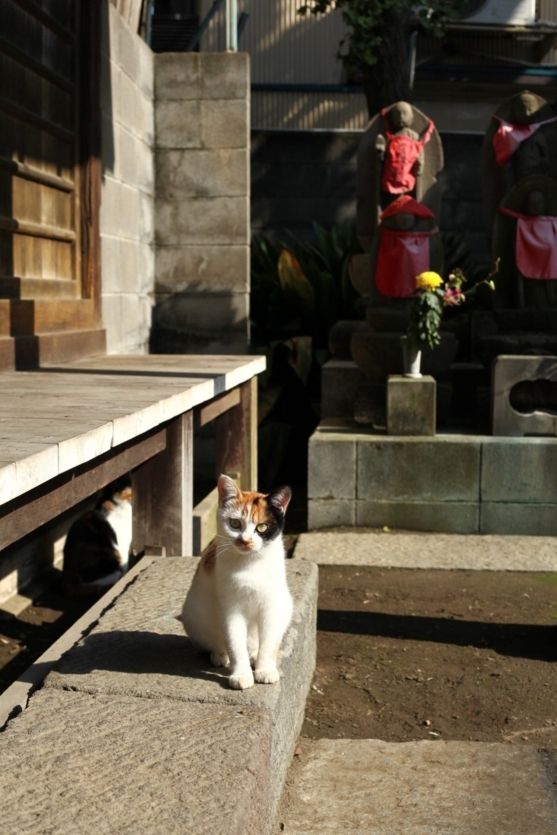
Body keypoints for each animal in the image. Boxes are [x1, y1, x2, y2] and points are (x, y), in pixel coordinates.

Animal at [185, 476, 294, 692]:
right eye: (235, 523)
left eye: (262, 527)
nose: (245, 541)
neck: (250, 565)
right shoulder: (229, 609)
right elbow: (235, 644)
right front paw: (241, 674)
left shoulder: (272, 606)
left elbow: (269, 643)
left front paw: (265, 670)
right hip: (194, 615)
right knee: (217, 641)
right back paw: (220, 654)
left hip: (286, 606)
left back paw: (254, 655)